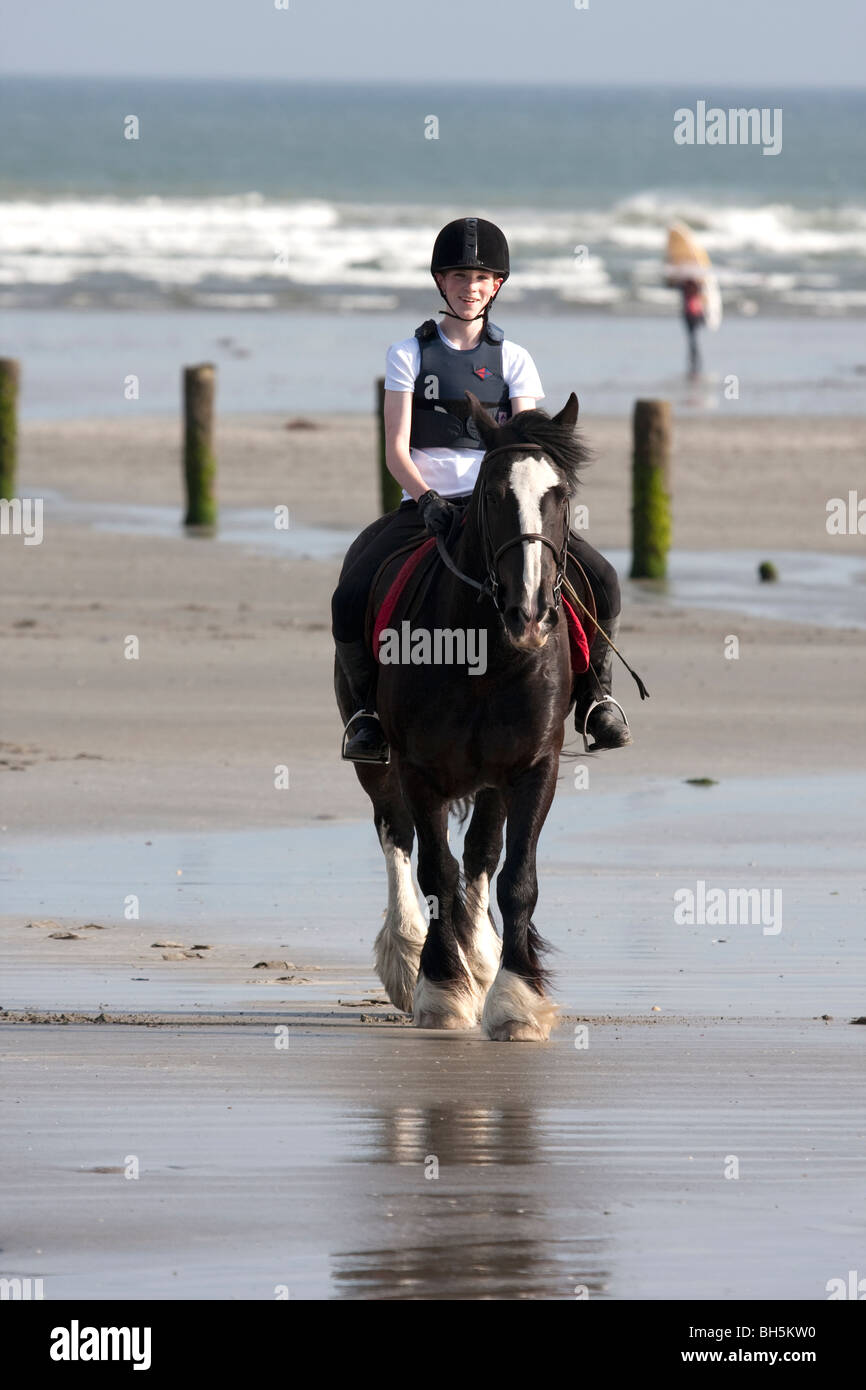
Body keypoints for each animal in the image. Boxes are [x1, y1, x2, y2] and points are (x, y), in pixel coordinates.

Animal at [335, 391, 592, 1045]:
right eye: (494, 495)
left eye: (562, 496)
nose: (530, 613)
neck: (489, 656)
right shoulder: (419, 770)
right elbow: (434, 873)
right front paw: (441, 988)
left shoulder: (532, 767)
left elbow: (514, 876)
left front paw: (516, 999)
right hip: (378, 763)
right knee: (397, 837)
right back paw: (408, 956)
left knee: (480, 854)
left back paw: (480, 955)